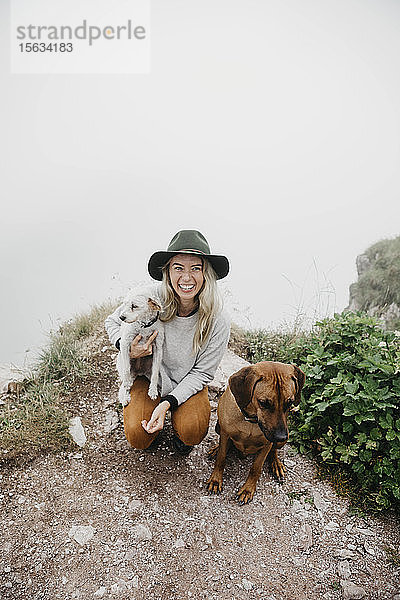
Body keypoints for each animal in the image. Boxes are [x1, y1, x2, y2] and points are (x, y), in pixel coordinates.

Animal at [208, 360, 304, 502]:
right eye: (264, 403)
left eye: (289, 403)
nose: (281, 437)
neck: (251, 421)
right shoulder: (225, 434)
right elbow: (221, 458)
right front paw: (215, 480)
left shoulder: (267, 444)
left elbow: (256, 468)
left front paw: (247, 489)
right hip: (218, 426)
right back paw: (216, 449)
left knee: (274, 451)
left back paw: (276, 464)